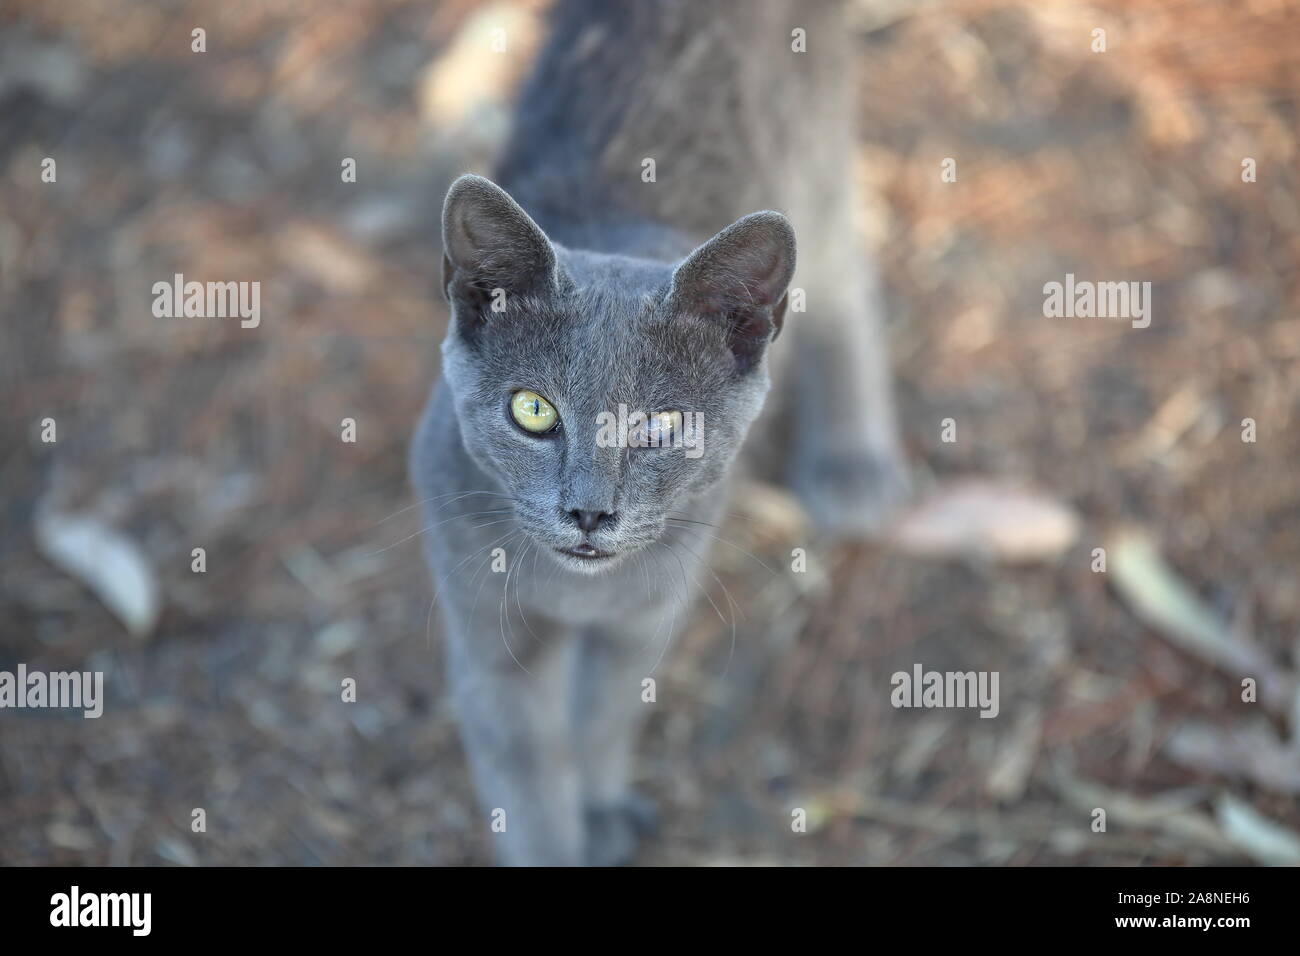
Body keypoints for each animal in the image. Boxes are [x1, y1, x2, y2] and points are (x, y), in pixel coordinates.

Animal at [410, 0, 909, 868]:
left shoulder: (650, 608)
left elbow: (605, 714)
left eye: (661, 425)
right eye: (532, 411)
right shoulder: (485, 630)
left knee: (848, 268)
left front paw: (600, 808)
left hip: (813, 146)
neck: (576, 592)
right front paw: (566, 836)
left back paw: (850, 460)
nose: (587, 511)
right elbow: (526, 769)